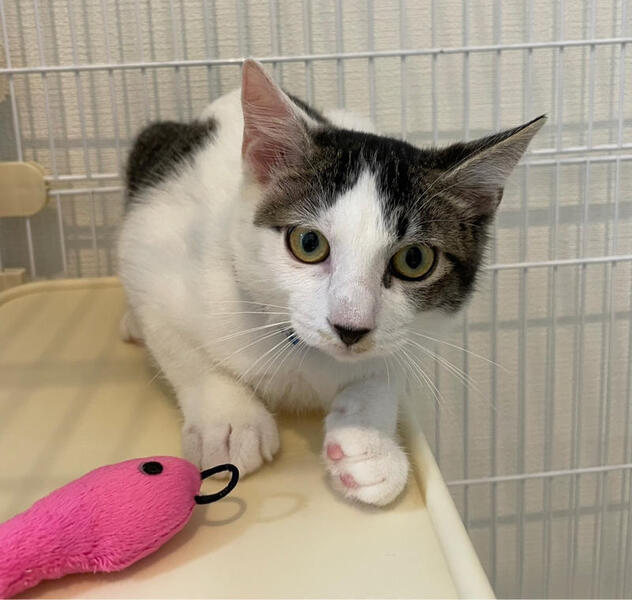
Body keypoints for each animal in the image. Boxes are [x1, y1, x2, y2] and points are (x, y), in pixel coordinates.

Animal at [118, 59, 544, 506]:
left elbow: (388, 367)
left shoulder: (418, 334)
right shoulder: (151, 245)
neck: (307, 354)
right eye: (308, 243)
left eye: (414, 260)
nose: (351, 328)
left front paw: (370, 443)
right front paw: (230, 420)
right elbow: (182, 351)